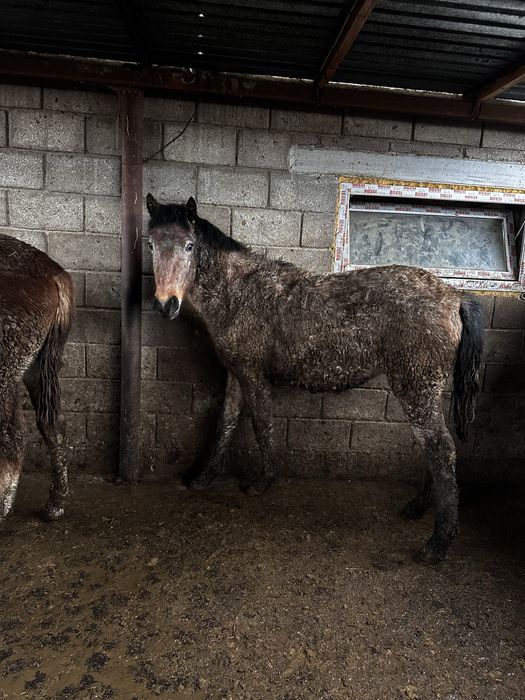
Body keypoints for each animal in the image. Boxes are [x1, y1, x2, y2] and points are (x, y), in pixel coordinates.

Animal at [146, 194, 484, 564]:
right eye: (151, 244)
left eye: (189, 246)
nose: (165, 304)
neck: (239, 293)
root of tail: (455, 297)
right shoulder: (235, 374)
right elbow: (226, 424)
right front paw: (203, 478)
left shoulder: (253, 375)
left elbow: (262, 424)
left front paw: (262, 482)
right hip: (427, 391)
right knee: (432, 448)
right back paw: (418, 507)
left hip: (416, 388)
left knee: (440, 449)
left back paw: (437, 543)